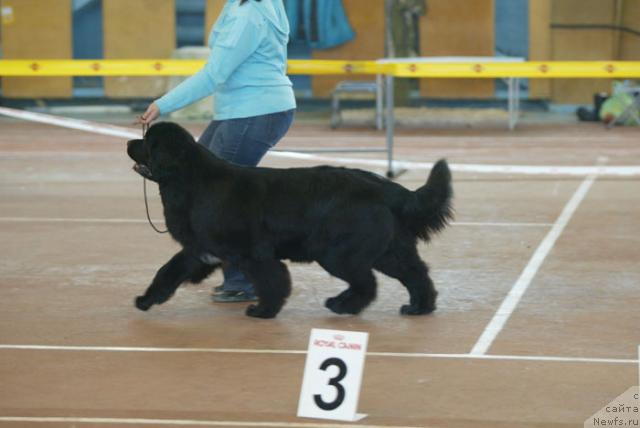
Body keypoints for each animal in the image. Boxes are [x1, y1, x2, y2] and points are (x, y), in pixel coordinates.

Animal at [127, 121, 452, 318]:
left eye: (148, 142)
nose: (129, 142)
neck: (191, 180)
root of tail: (385, 188)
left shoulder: (253, 254)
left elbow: (272, 281)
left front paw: (263, 311)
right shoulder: (199, 249)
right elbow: (167, 271)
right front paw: (145, 300)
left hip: (339, 253)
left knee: (367, 283)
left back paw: (341, 305)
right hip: (388, 250)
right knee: (416, 274)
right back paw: (418, 307)